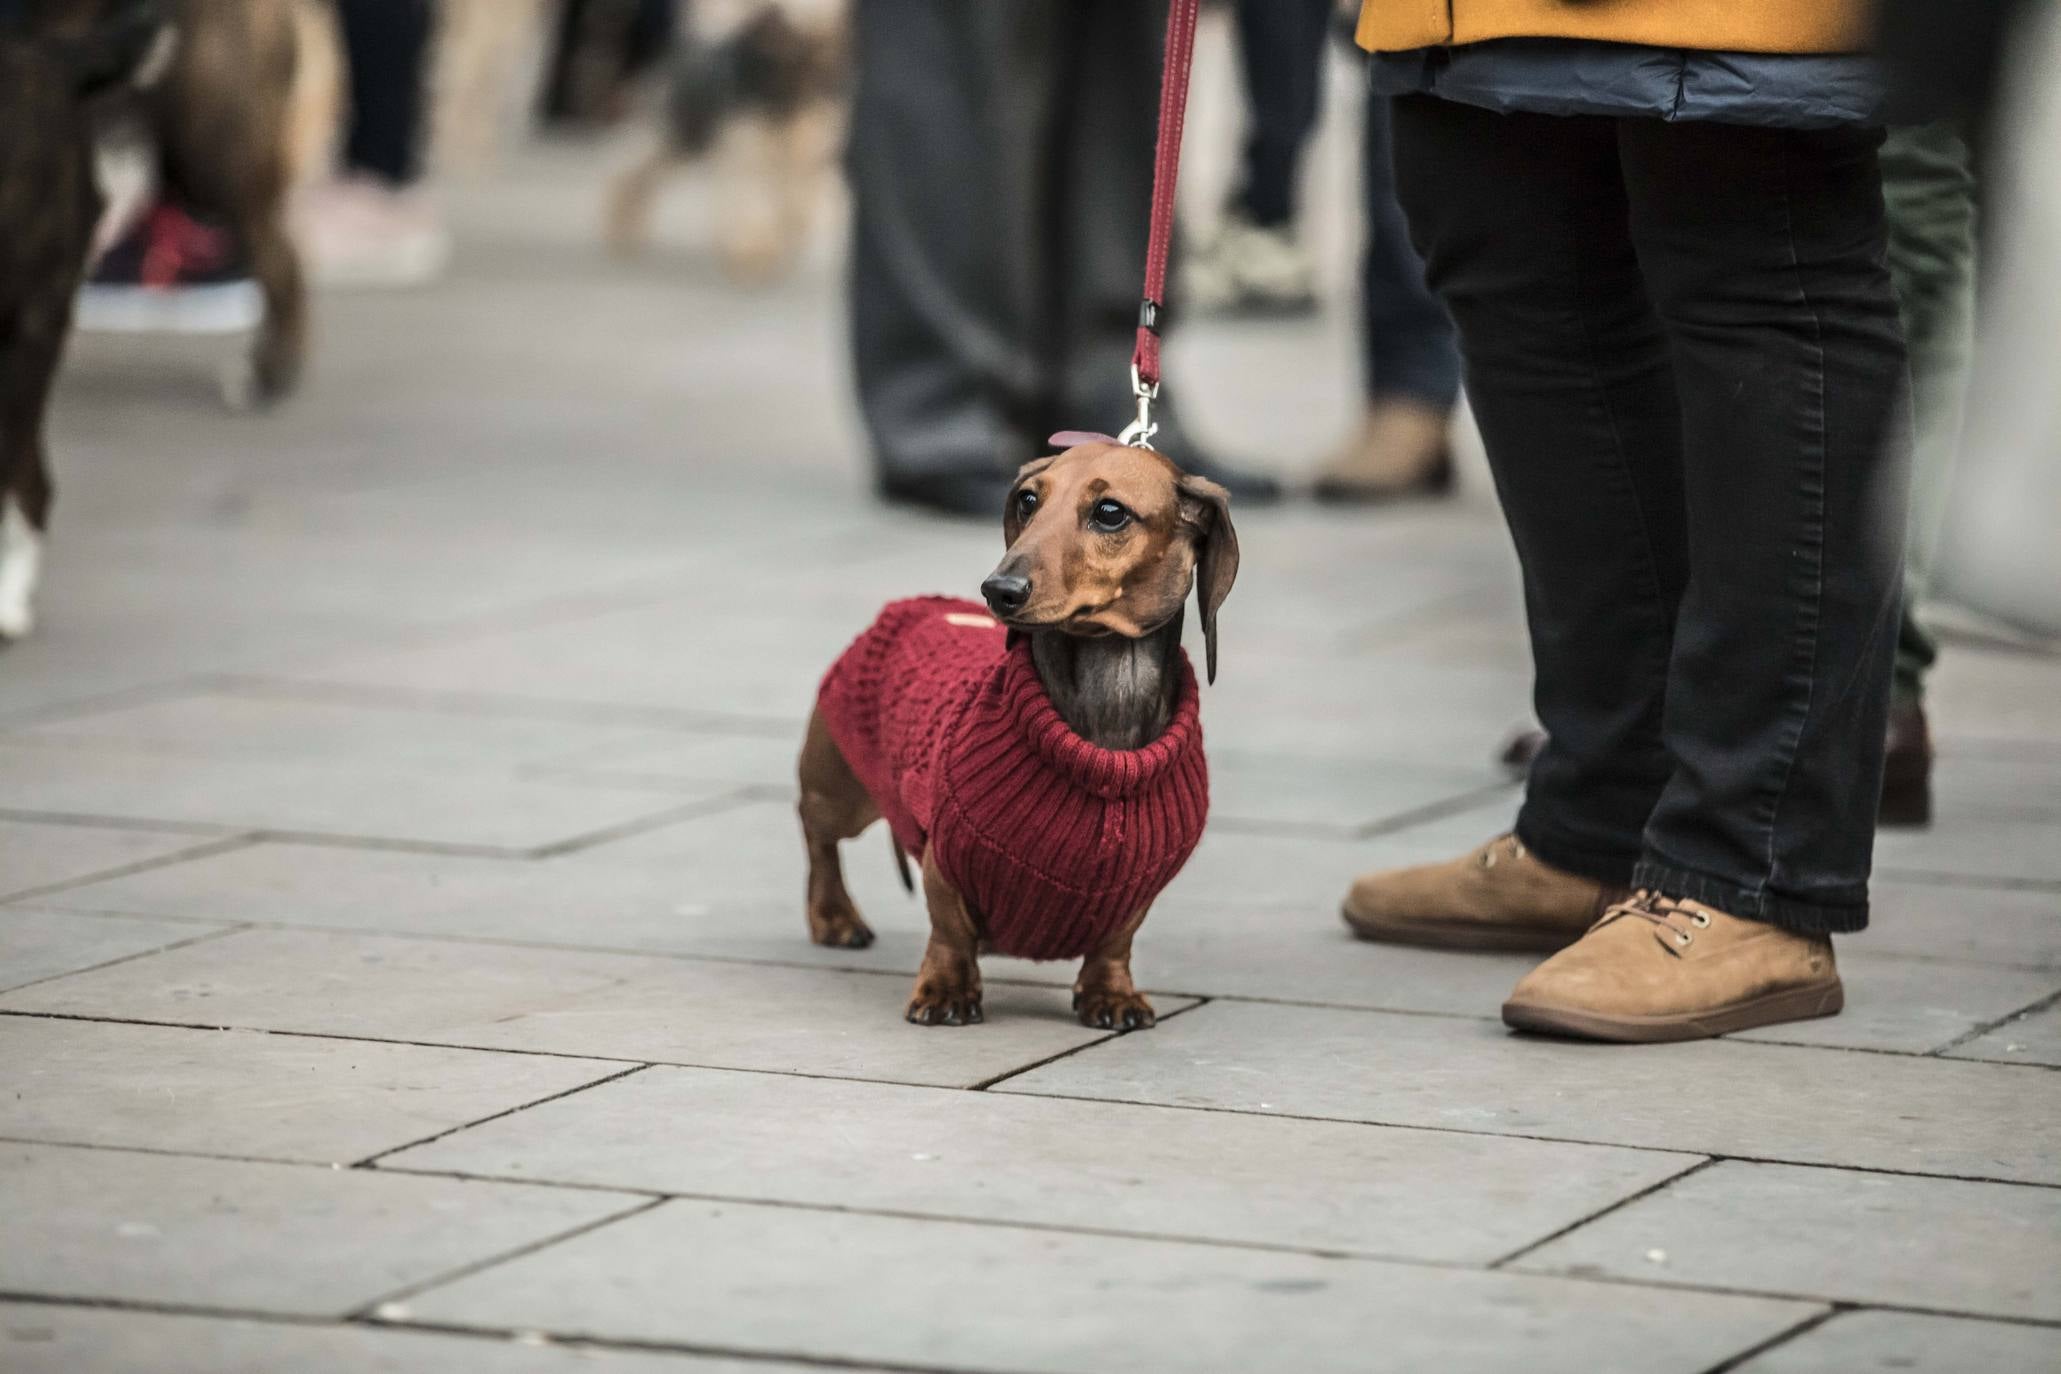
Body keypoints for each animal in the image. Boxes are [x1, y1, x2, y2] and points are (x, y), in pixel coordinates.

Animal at [795, 442, 1228, 1029]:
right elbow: (949, 930)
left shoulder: (1139, 887)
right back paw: (834, 917)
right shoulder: (946, 856)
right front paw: (946, 990)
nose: (998, 590)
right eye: (1027, 500)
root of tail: (913, 603)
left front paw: (1111, 994)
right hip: (840, 790)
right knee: (816, 833)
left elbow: (1116, 941)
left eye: (1110, 512)